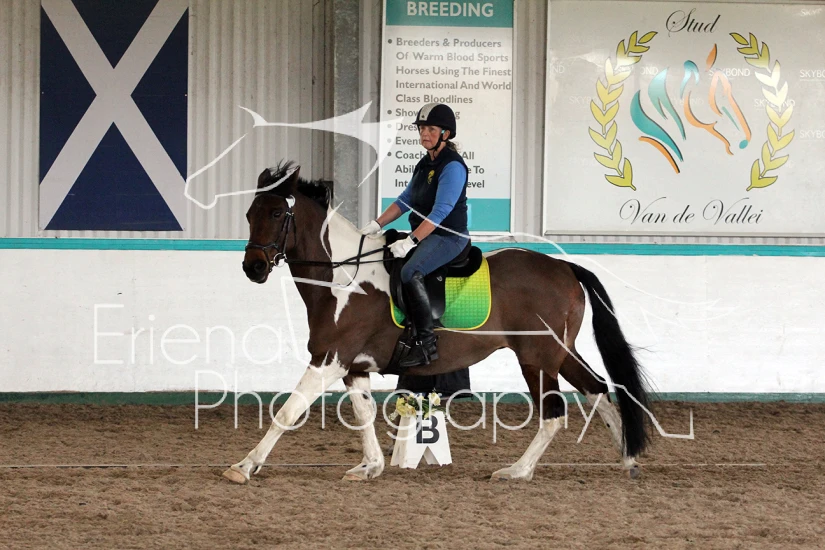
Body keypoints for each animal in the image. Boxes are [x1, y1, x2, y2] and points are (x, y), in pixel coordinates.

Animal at [223, 161, 652, 484]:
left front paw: (244, 466)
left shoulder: (328, 360)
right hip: (560, 352)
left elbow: (286, 412)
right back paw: (628, 458)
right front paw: (371, 466)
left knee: (553, 415)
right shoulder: (353, 366)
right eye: (249, 215)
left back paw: (517, 470)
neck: (344, 278)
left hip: (537, 358)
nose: (252, 268)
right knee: (597, 388)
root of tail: (564, 267)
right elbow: (363, 415)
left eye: (277, 213)